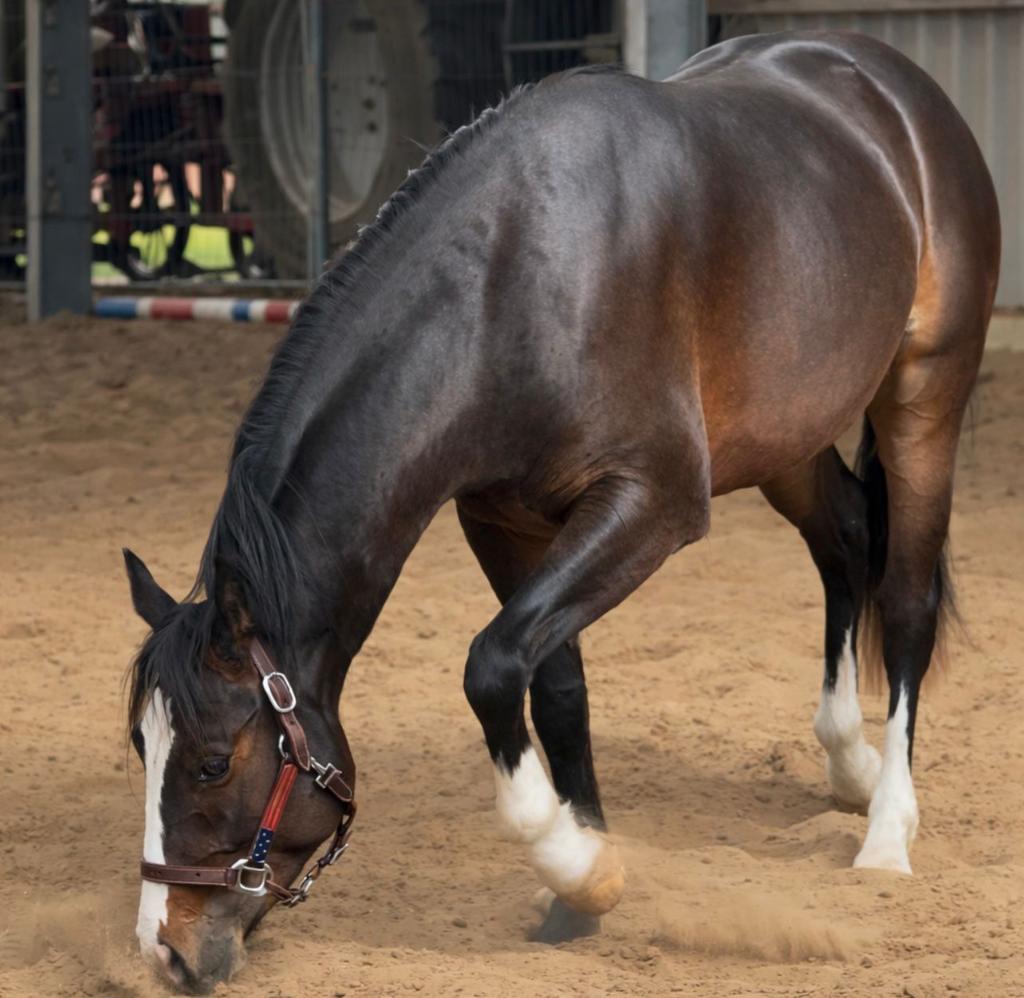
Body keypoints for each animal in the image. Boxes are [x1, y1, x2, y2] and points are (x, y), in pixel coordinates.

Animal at [123, 29, 999, 992]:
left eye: (212, 763)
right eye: (141, 748)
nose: (165, 946)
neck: (512, 285)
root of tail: (892, 83)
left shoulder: (654, 502)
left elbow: (493, 666)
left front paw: (581, 867)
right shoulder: (501, 520)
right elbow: (556, 689)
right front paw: (580, 894)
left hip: (924, 396)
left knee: (907, 600)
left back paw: (886, 834)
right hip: (789, 431)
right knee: (843, 540)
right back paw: (848, 761)